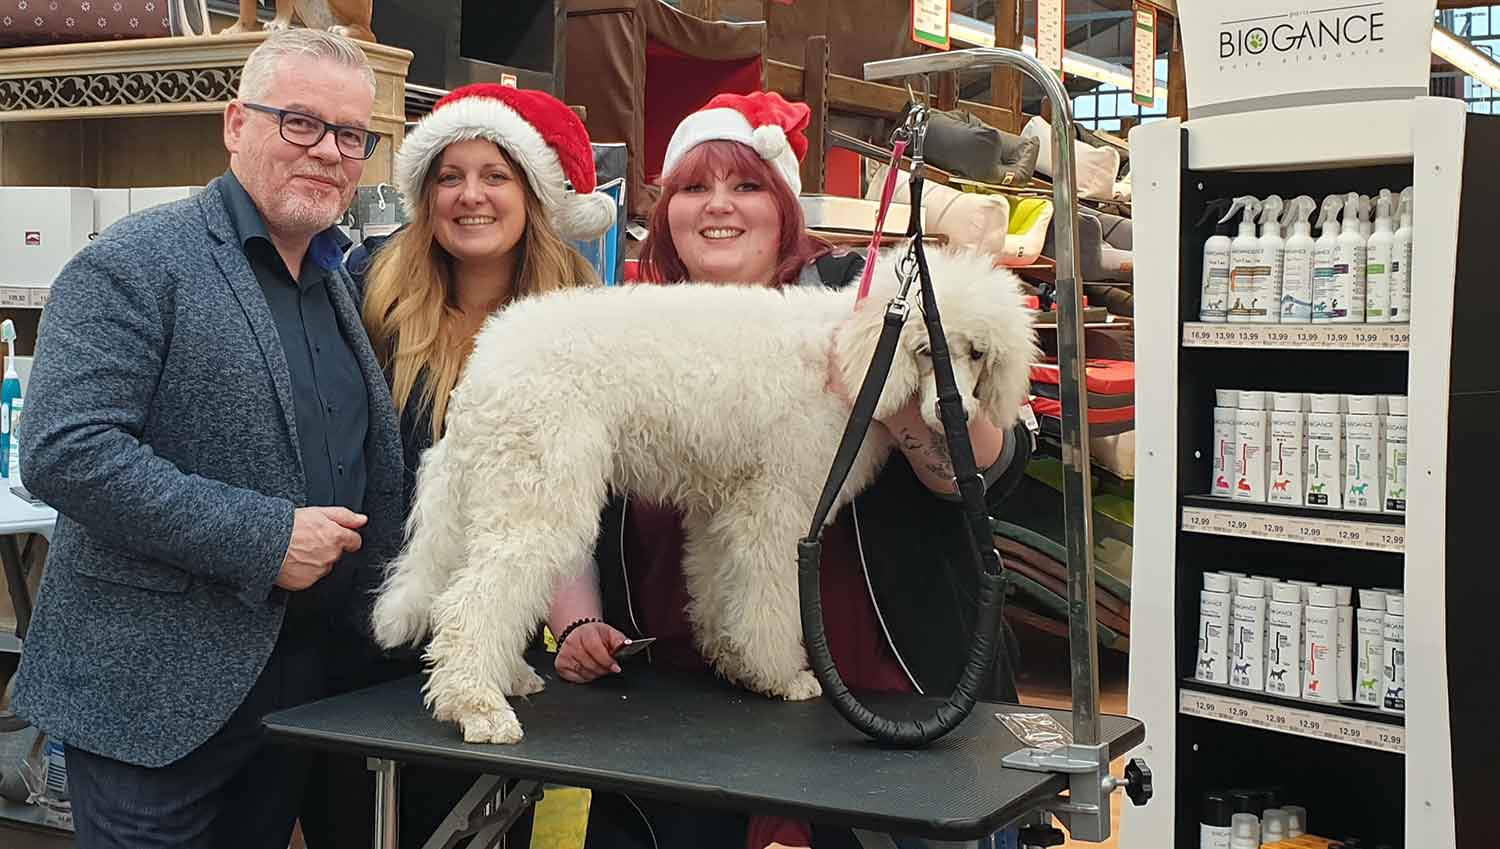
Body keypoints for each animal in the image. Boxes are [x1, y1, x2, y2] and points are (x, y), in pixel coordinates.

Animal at [369, 246, 1038, 744]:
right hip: (539, 492)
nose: (952, 416)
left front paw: (736, 662)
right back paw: (476, 706)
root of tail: (484, 365)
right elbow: (768, 601)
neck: (848, 355)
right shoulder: (778, 507)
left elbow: (721, 591)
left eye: (978, 353)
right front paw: (780, 675)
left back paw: (505, 678)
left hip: (503, 488)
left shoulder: (725, 506)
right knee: (472, 603)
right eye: (927, 349)